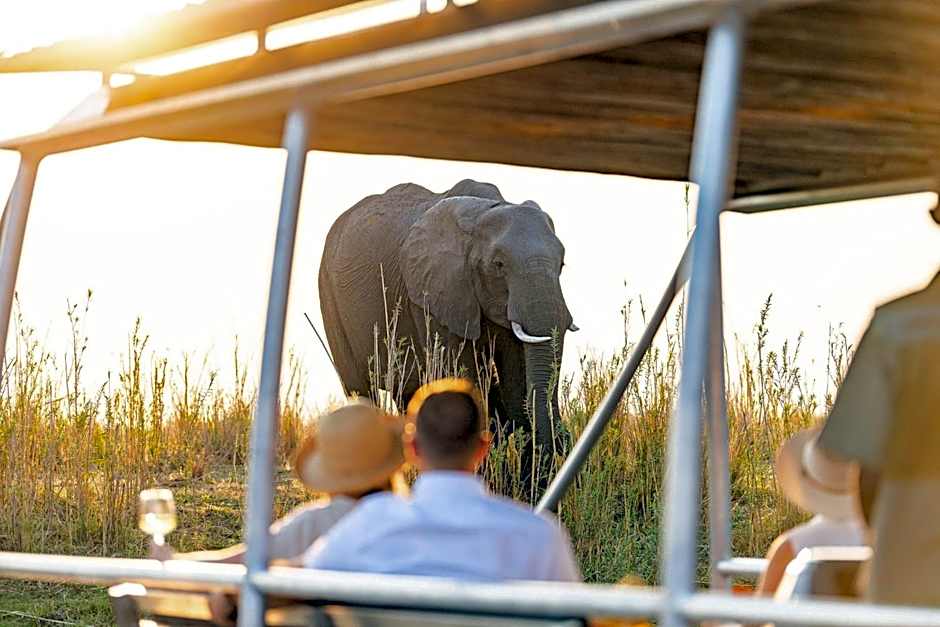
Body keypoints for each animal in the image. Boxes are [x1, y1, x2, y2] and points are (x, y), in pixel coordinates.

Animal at [318, 179, 577, 479]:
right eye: (498, 264)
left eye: (562, 264)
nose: (565, 439)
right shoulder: (433, 291)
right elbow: (460, 375)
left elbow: (515, 377)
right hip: (328, 298)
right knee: (360, 392)